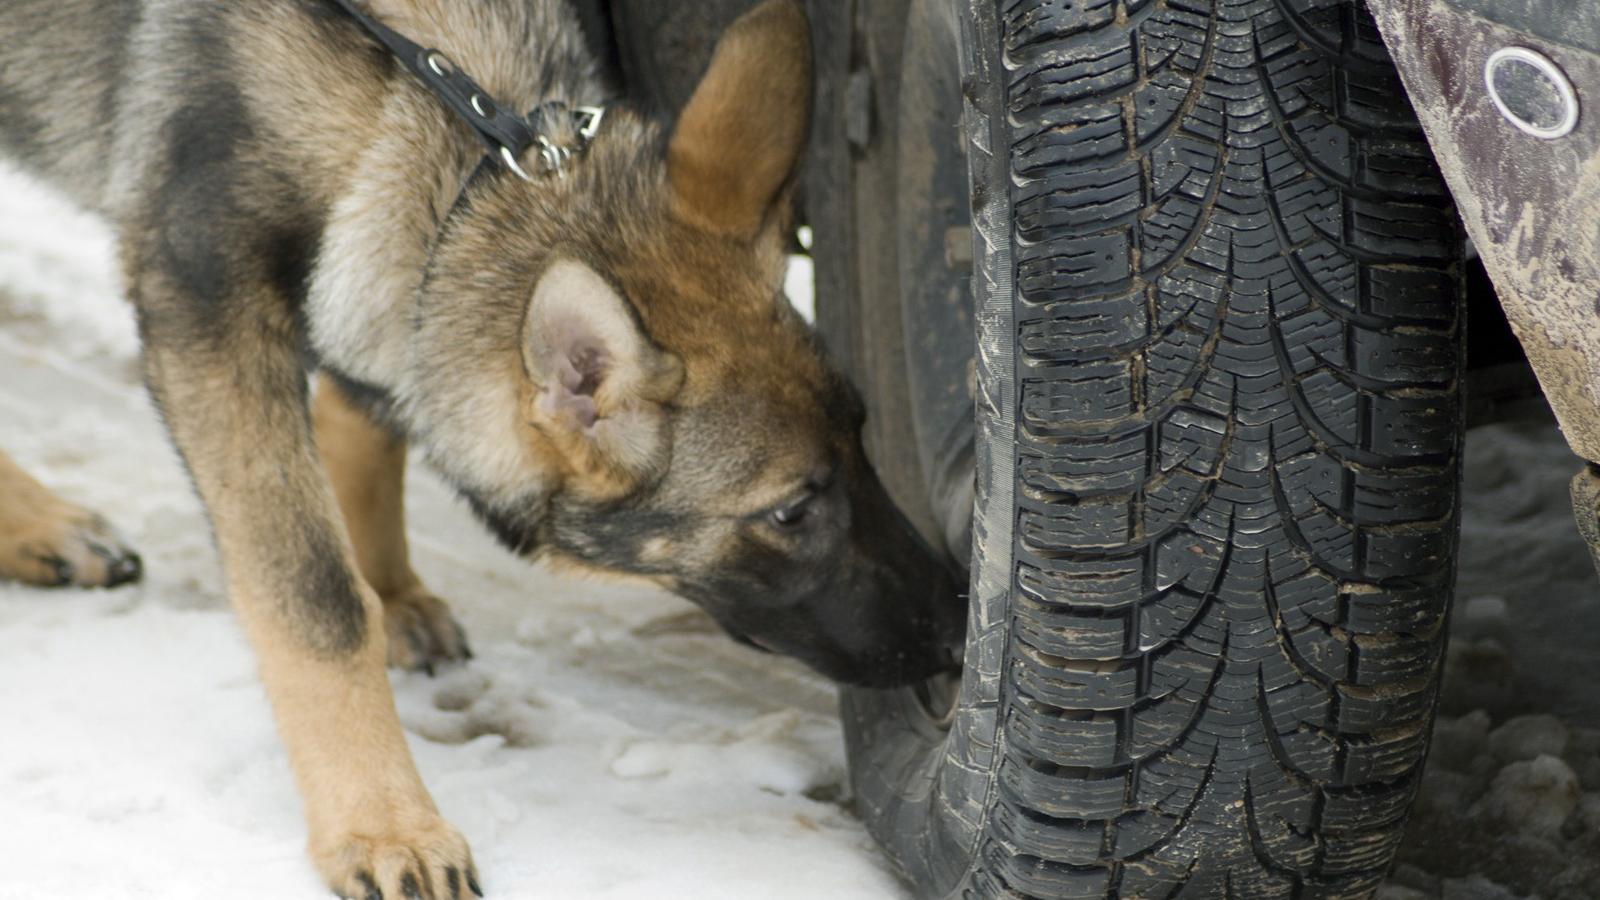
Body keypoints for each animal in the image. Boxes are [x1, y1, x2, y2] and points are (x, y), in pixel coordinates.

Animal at [0, 0, 953, 890]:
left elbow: (369, 428)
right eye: (791, 512)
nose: (957, 631)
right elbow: (318, 602)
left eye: (866, 441)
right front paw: (384, 824)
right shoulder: (207, 319)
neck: (437, 102)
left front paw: (392, 591)